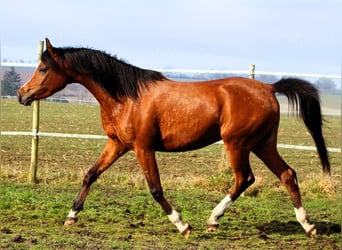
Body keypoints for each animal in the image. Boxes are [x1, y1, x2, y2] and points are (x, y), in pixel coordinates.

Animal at [17, 38, 330, 238]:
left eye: (43, 68)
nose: (22, 94)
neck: (126, 97)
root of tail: (268, 87)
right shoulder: (117, 144)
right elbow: (90, 174)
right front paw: (71, 216)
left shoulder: (143, 148)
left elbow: (156, 189)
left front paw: (182, 225)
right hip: (263, 144)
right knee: (287, 174)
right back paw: (308, 226)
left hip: (238, 144)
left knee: (245, 179)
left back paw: (212, 219)